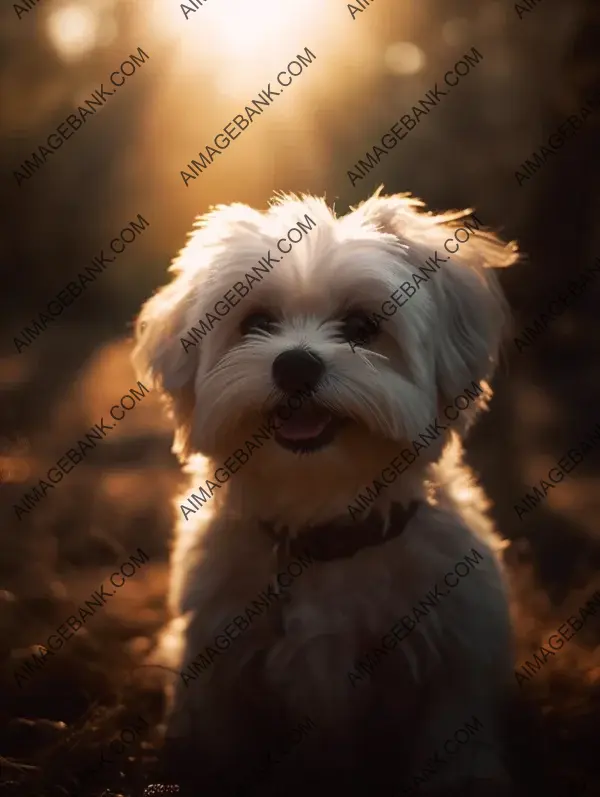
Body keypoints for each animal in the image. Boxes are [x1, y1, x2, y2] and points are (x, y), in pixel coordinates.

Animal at [134, 190, 516, 792]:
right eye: (256, 322)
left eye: (361, 325)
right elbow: (216, 741)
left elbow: (454, 741)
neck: (325, 518)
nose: (294, 364)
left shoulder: (456, 661)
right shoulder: (217, 663)